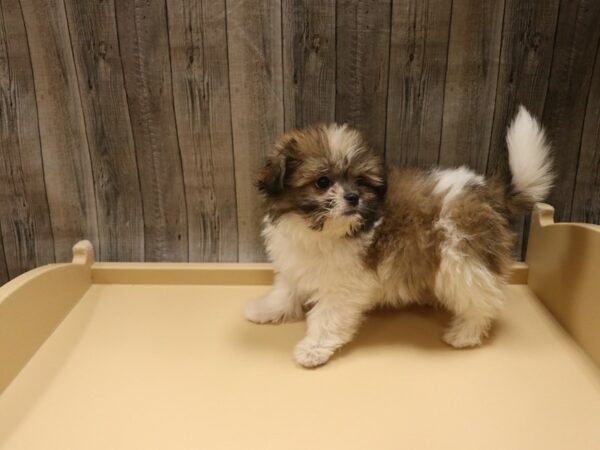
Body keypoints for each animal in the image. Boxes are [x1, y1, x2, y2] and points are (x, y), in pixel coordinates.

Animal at [244, 107, 552, 368]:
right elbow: (286, 290)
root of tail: (490, 194)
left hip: (462, 260)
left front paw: (313, 348)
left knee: (483, 300)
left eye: (360, 182)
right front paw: (265, 309)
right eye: (322, 182)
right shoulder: (296, 263)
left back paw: (466, 333)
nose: (353, 197)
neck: (318, 230)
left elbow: (327, 316)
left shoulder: (344, 285)